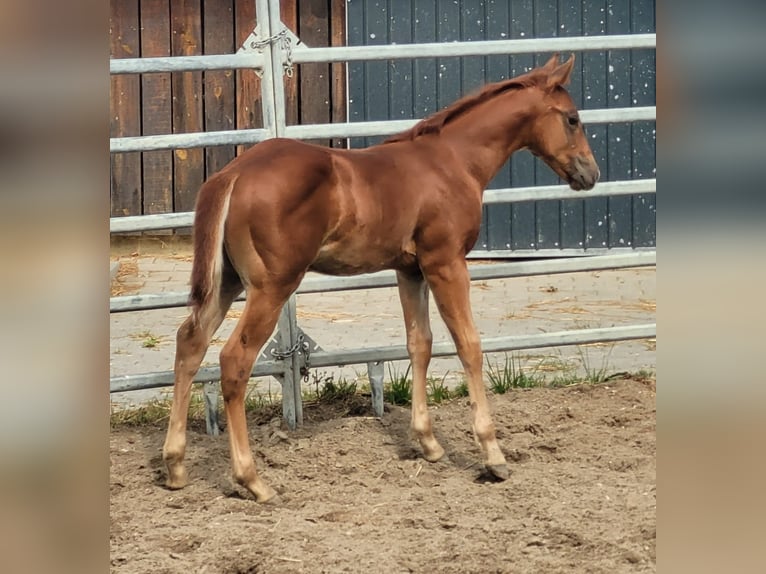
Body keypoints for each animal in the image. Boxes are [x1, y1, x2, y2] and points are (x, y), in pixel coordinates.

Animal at [162, 53, 599, 503]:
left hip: (227, 283)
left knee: (190, 343)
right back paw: (252, 480)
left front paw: (428, 443)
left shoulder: (410, 270)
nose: (590, 173)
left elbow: (419, 344)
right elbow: (469, 346)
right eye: (572, 119)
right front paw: (493, 456)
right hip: (272, 286)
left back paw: (176, 466)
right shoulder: (446, 263)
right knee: (234, 360)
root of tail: (232, 174)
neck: (452, 161)